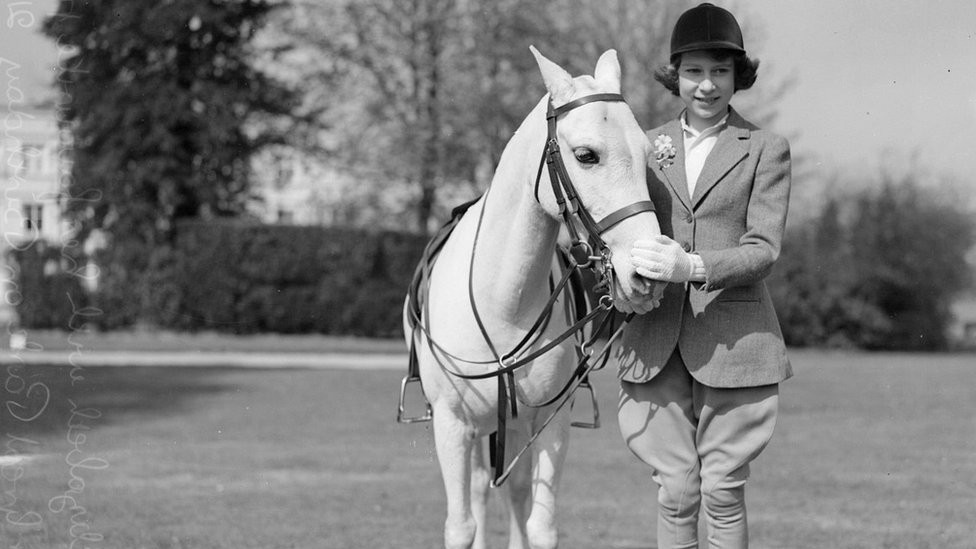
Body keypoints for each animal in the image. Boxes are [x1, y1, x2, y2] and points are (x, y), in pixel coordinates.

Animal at [402, 47, 663, 549]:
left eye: (647, 158)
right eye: (586, 155)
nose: (645, 273)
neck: (503, 304)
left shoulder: (549, 424)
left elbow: (539, 525)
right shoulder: (452, 425)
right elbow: (461, 525)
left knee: (514, 493)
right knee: (480, 491)